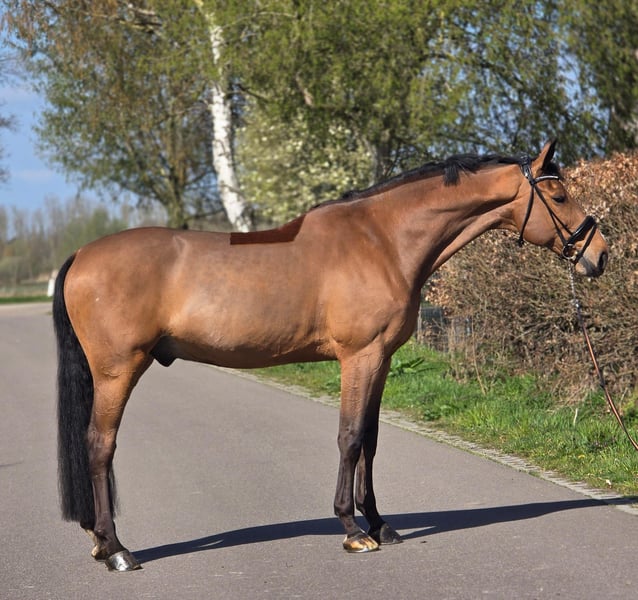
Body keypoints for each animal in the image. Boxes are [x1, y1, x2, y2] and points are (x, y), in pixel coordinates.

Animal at [53, 140, 608, 571]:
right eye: (558, 193)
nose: (600, 254)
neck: (382, 240)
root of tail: (81, 256)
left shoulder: (382, 361)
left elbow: (371, 442)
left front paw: (379, 524)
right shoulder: (359, 358)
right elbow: (349, 437)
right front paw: (352, 528)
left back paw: (102, 543)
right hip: (118, 371)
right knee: (100, 446)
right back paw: (117, 549)